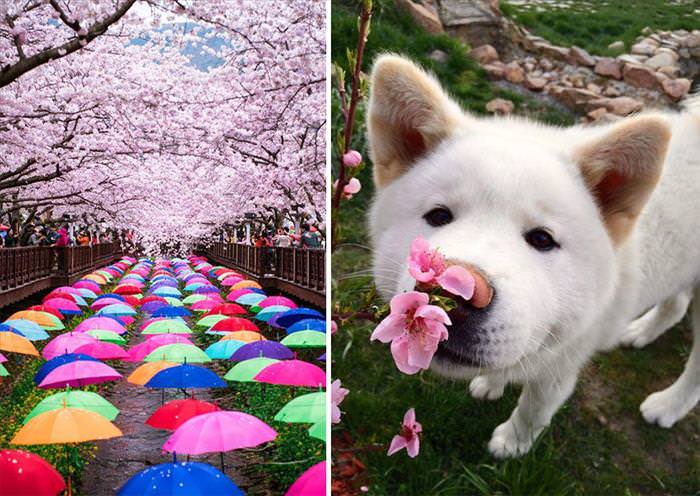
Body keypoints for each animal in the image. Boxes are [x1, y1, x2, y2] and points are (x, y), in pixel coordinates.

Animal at [366, 54, 700, 458]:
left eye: (542, 239)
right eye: (439, 216)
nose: (450, 294)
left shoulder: (561, 365)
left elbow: (533, 409)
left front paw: (513, 443)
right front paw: (492, 384)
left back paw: (669, 405)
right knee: (676, 304)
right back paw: (641, 332)